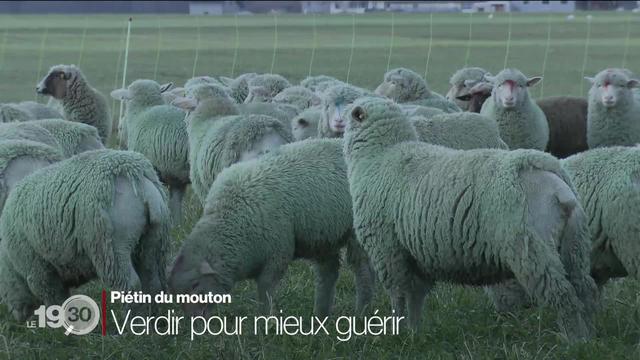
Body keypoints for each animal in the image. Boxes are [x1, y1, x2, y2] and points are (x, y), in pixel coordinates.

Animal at [0, 149, 170, 320]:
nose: (17, 318)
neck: (9, 261)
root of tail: (134, 174)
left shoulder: (39, 272)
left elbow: (56, 302)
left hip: (113, 248)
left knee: (131, 285)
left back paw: (132, 320)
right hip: (153, 240)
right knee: (152, 281)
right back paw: (152, 318)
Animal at [169, 139, 376, 316]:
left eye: (195, 285)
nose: (196, 322)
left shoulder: (277, 253)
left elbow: (265, 288)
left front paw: (264, 323)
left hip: (356, 232)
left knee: (363, 271)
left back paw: (361, 313)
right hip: (324, 234)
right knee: (329, 273)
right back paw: (321, 315)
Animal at [342, 95, 596, 340]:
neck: (382, 153)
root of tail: (559, 190)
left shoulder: (388, 250)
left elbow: (399, 296)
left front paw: (395, 333)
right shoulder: (415, 254)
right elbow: (415, 296)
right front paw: (413, 334)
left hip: (533, 251)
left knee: (563, 296)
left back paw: (573, 340)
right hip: (574, 246)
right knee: (584, 290)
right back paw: (588, 337)